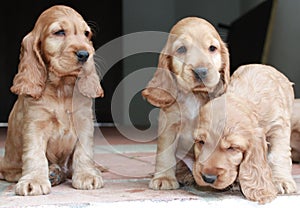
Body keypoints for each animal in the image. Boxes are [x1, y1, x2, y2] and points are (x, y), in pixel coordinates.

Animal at [0, 5, 104, 197]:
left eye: (86, 34)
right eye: (59, 32)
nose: (85, 54)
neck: (61, 89)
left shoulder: (84, 122)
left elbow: (84, 151)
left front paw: (87, 175)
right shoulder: (35, 124)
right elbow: (35, 154)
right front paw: (34, 181)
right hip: (7, 166)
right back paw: (52, 172)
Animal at [141, 17, 230, 190]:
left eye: (212, 48)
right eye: (181, 49)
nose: (201, 71)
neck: (194, 96)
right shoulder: (169, 126)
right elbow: (165, 154)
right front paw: (164, 178)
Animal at [193, 63, 296, 203]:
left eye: (232, 148)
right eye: (201, 142)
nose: (208, 178)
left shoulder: (279, 126)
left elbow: (279, 155)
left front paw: (281, 181)